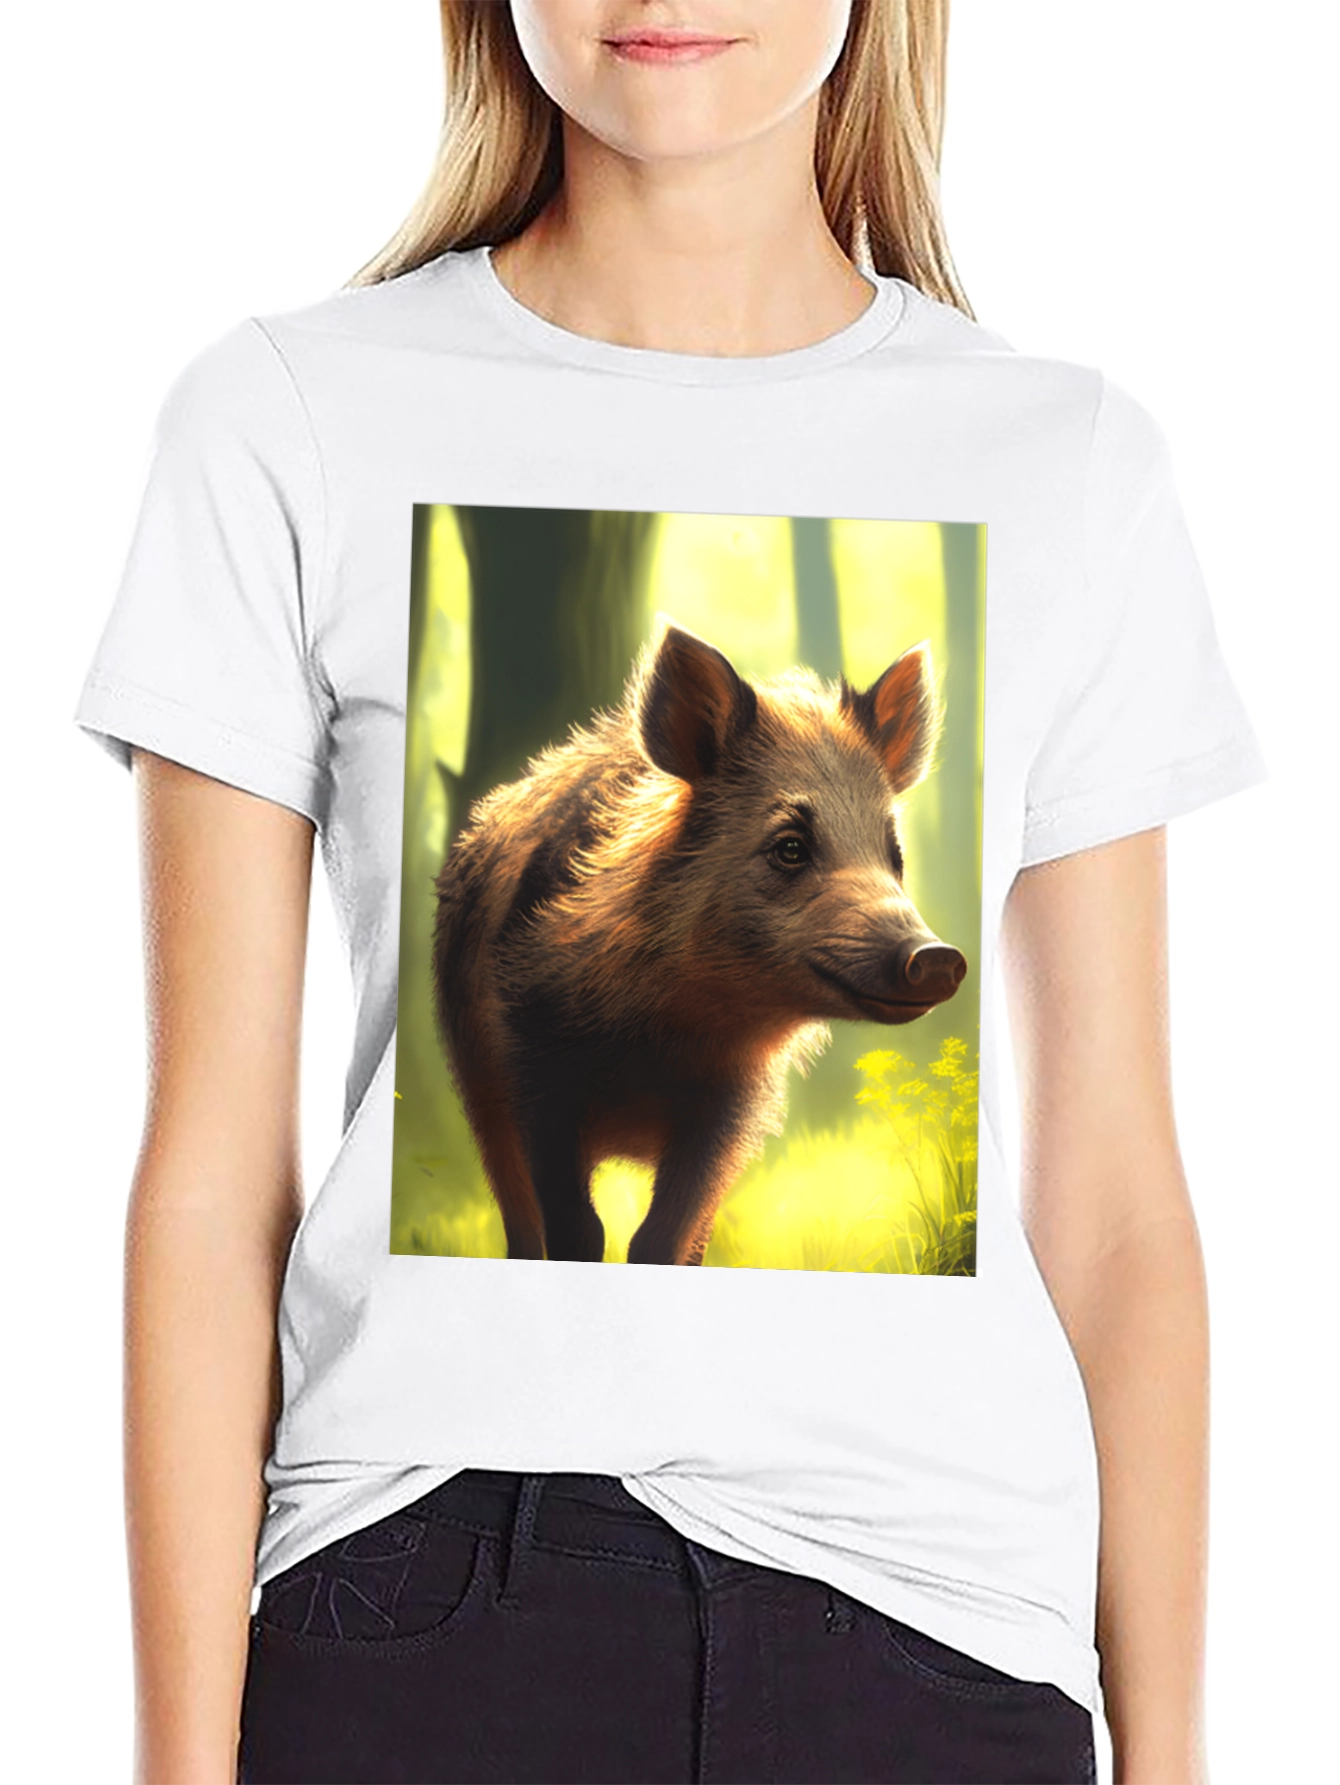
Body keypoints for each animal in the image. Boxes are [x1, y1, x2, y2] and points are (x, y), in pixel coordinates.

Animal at [431, 620, 967, 1267]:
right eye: (790, 846)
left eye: (895, 857)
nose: (937, 957)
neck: (667, 1033)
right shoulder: (532, 1071)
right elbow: (576, 1230)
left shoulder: (729, 1109)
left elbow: (665, 1237)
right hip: (475, 1079)